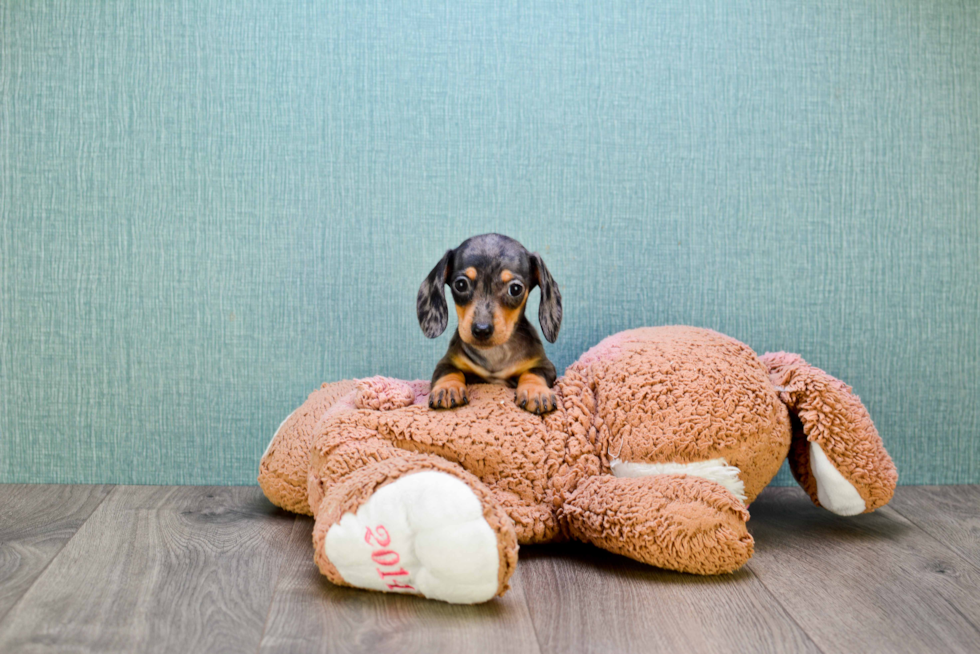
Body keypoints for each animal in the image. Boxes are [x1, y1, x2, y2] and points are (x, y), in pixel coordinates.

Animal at [418, 236, 564, 416]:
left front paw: (535, 391)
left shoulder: (546, 366)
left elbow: (533, 372)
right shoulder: (446, 362)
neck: (494, 354)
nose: (481, 330)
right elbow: (449, 371)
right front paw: (448, 388)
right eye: (460, 285)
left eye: (515, 289)